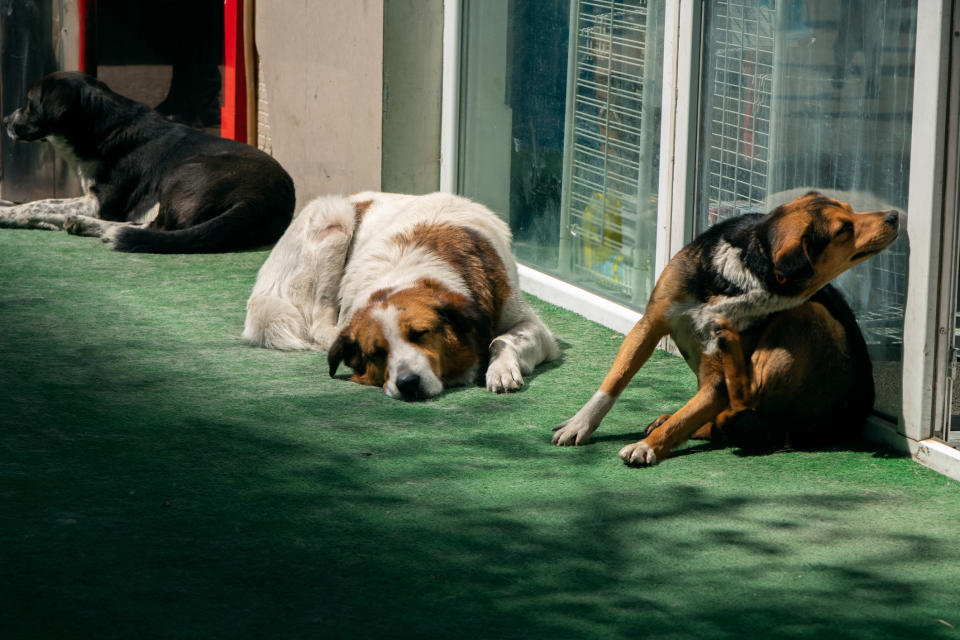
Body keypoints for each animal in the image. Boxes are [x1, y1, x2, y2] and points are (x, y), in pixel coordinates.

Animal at [0, 72, 292, 252]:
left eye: (29, 103)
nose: (4, 121)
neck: (103, 129)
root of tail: (257, 200)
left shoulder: (100, 204)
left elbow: (37, 204)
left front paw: (9, 214)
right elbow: (40, 202)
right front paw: (10, 206)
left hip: (181, 171)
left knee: (158, 228)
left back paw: (89, 226)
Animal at [244, 191, 560, 400]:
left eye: (420, 334)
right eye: (377, 353)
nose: (407, 383)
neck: (410, 268)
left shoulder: (533, 326)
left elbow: (501, 339)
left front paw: (501, 371)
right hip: (336, 221)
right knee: (318, 323)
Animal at [552, 190, 904, 464]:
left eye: (851, 211)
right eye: (844, 227)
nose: (894, 215)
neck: (750, 266)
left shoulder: (716, 382)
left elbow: (689, 414)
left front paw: (647, 447)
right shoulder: (650, 323)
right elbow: (615, 380)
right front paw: (580, 424)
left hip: (808, 314)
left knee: (745, 401)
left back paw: (727, 345)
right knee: (729, 418)